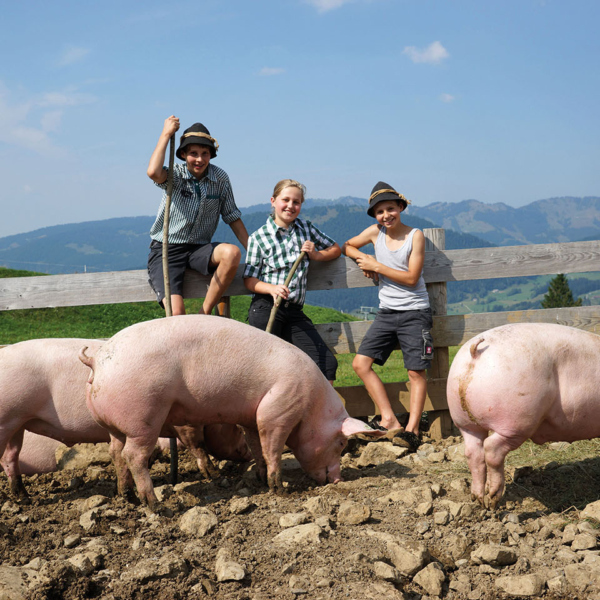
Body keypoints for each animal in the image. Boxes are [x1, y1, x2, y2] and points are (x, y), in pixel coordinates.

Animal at [0, 338, 251, 502]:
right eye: (238, 429)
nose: (248, 454)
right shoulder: (186, 424)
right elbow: (197, 446)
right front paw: (215, 475)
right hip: (7, 417)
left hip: (18, 424)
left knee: (10, 458)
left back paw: (23, 497)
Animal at [78, 316, 384, 508]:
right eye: (341, 443)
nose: (338, 479)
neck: (311, 406)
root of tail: (97, 359)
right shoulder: (277, 409)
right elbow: (273, 448)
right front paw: (278, 489)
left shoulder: (251, 417)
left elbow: (257, 446)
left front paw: (259, 478)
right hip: (144, 417)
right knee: (134, 456)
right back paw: (156, 506)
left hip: (114, 426)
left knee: (116, 453)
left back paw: (126, 497)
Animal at [446, 326, 600, 508]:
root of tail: (475, 352)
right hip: (517, 421)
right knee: (491, 448)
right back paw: (493, 498)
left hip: (464, 420)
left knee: (473, 452)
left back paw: (479, 499)